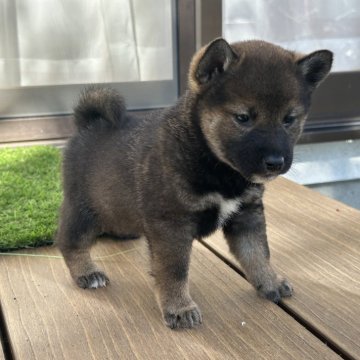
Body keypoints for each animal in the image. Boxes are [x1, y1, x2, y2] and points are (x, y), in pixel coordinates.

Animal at [56, 38, 332, 330]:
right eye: (243, 118)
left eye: (289, 119)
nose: (276, 162)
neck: (214, 162)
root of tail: (88, 124)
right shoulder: (172, 224)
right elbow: (174, 271)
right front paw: (179, 307)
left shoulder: (247, 214)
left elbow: (257, 253)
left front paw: (270, 281)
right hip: (83, 209)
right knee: (69, 242)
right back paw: (87, 272)